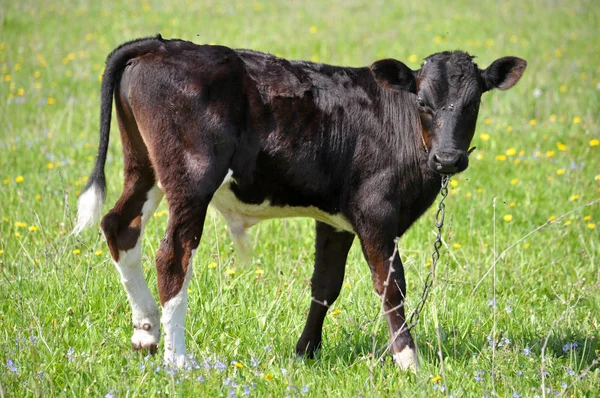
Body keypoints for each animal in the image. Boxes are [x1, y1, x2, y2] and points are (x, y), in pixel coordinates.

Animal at [74, 35, 524, 372]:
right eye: (423, 103)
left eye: (473, 103)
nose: (448, 158)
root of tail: (162, 45)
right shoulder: (377, 212)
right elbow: (391, 285)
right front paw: (408, 361)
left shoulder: (337, 220)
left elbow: (325, 285)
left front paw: (305, 352)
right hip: (191, 177)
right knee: (173, 256)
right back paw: (178, 359)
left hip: (144, 165)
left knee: (120, 225)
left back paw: (146, 332)